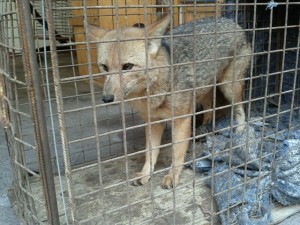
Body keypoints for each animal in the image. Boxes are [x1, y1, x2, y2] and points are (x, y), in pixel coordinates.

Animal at [88, 15, 251, 188]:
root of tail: (230, 20)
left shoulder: (181, 121)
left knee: (240, 108)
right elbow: (151, 152)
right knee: (208, 107)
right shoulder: (153, 122)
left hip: (229, 87)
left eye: (127, 66)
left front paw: (173, 175)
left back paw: (240, 132)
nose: (106, 98)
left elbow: (177, 153)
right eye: (104, 67)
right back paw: (204, 129)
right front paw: (146, 173)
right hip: (204, 89)